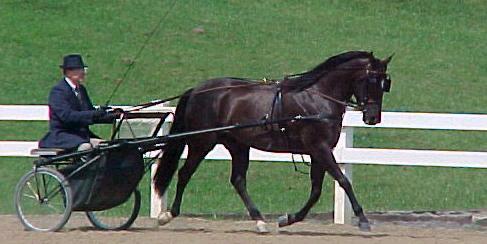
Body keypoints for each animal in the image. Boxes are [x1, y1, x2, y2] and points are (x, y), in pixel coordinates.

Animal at [152, 51, 392, 233]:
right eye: (371, 80)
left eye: (385, 83)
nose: (373, 118)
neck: (318, 98)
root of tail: (197, 89)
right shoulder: (320, 149)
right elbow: (343, 181)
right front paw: (363, 220)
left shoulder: (317, 152)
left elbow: (316, 191)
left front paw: (289, 218)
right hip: (202, 142)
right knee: (185, 173)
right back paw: (168, 214)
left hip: (238, 145)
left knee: (238, 180)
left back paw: (259, 220)